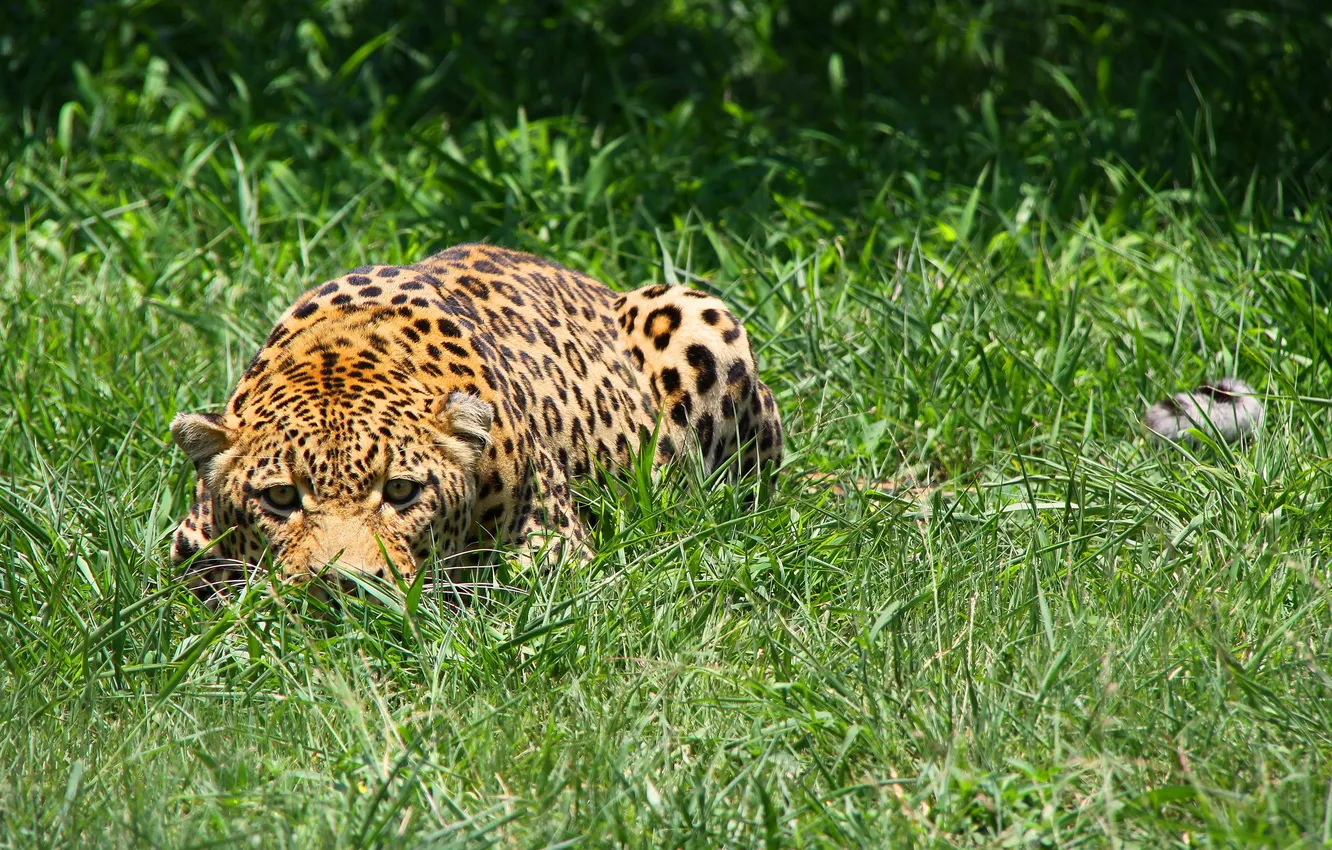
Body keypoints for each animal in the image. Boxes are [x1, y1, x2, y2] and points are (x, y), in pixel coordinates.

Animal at [170, 243, 783, 604]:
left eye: (401, 491)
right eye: (279, 498)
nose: (343, 588)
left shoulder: (555, 545)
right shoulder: (187, 546)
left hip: (699, 318)